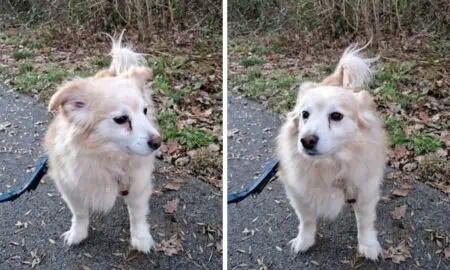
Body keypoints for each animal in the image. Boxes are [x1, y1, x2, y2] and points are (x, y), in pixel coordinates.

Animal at [44, 32, 161, 253]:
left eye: (145, 111)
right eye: (122, 119)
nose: (158, 142)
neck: (106, 157)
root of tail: (114, 71)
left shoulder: (138, 184)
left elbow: (137, 215)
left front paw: (141, 239)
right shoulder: (71, 186)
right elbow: (80, 213)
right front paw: (78, 233)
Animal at [276, 45, 388, 260]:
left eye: (336, 116)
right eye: (304, 114)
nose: (306, 141)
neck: (331, 164)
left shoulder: (365, 191)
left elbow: (365, 223)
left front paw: (368, 245)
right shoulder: (298, 192)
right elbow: (306, 220)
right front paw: (305, 240)